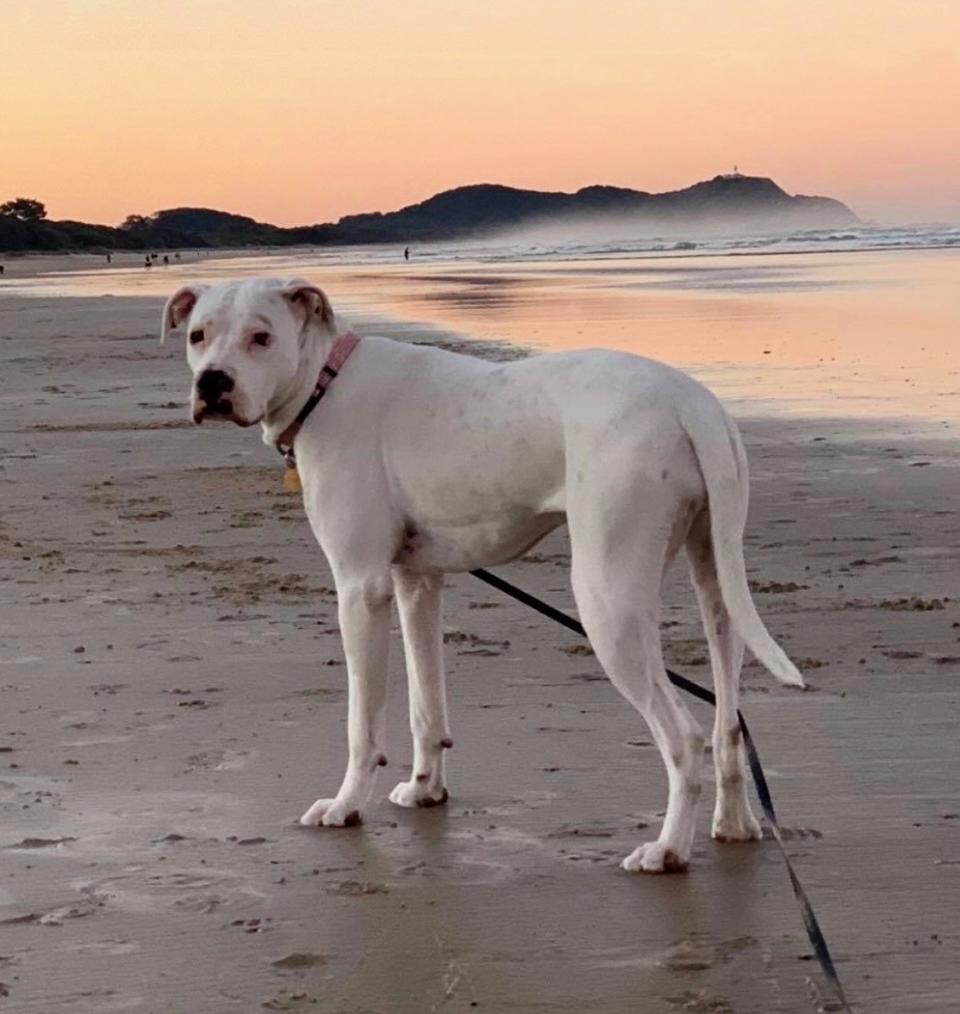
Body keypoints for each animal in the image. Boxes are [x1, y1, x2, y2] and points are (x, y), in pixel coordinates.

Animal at [159, 277, 802, 872]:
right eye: (198, 336)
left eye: (261, 337)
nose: (213, 383)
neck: (326, 380)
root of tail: (690, 401)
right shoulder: (415, 583)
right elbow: (425, 705)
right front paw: (425, 789)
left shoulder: (360, 589)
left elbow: (362, 724)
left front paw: (345, 806)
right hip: (714, 575)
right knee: (727, 722)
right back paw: (734, 825)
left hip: (608, 598)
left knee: (684, 737)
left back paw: (667, 849)